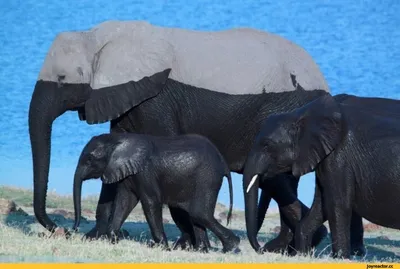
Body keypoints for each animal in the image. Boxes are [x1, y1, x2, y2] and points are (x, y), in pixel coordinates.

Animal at [73, 133, 239, 252]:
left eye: (89, 160)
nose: (74, 229)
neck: (118, 139)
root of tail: (223, 161)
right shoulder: (128, 172)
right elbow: (125, 202)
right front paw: (112, 239)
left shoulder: (146, 172)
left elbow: (150, 202)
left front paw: (161, 247)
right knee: (195, 215)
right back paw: (201, 250)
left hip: (207, 178)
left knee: (198, 213)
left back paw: (233, 247)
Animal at [242, 92, 400, 258]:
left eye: (266, 145)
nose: (262, 249)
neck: (300, 115)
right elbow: (321, 204)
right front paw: (302, 256)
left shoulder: (339, 158)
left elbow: (337, 204)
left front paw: (341, 258)